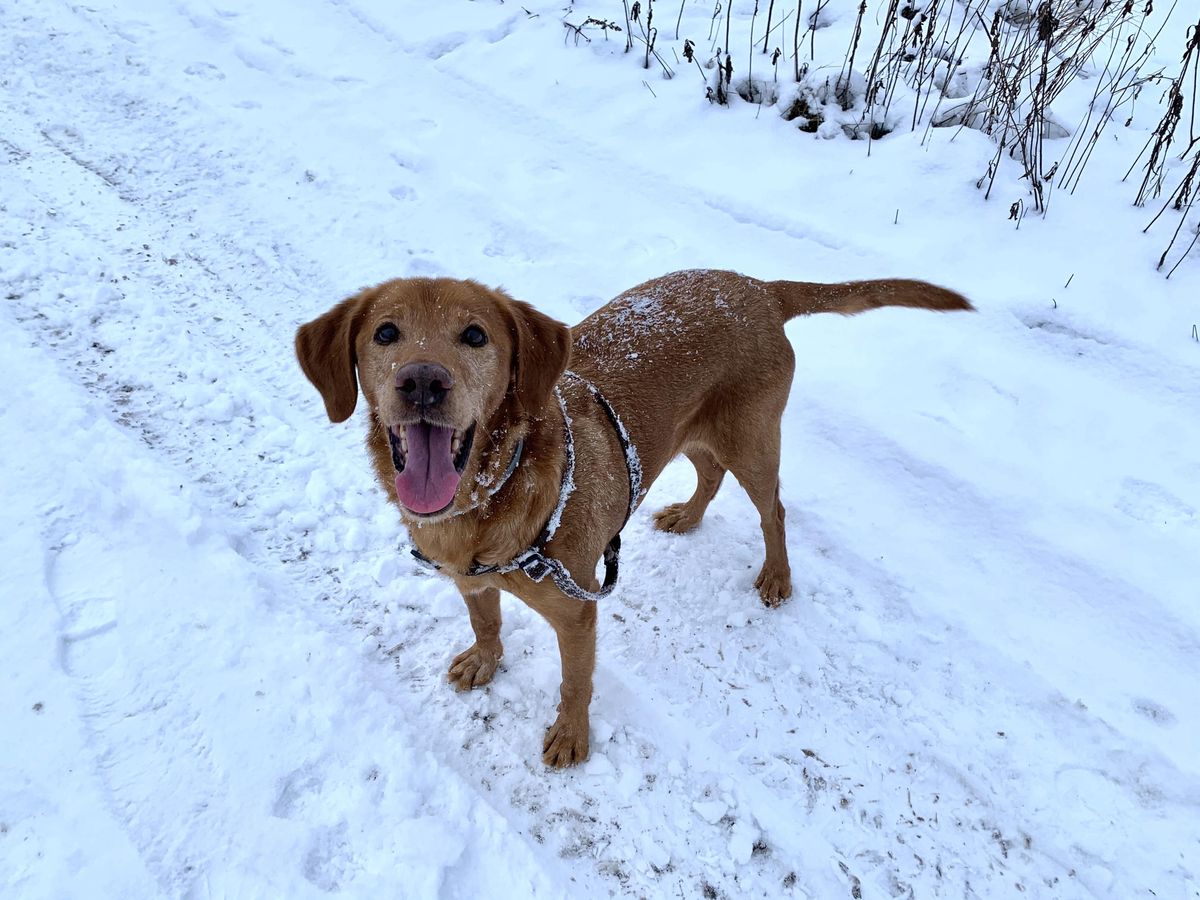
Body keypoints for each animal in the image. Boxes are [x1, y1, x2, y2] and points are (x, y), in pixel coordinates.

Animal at [295, 270, 969, 768]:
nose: (422, 382)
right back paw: (687, 517)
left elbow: (575, 682)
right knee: (708, 474)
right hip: (689, 432)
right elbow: (486, 622)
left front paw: (572, 736)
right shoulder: (468, 577)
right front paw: (485, 660)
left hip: (751, 440)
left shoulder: (578, 610)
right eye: (386, 333)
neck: (491, 497)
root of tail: (759, 287)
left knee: (772, 507)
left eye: (475, 336)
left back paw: (777, 577)